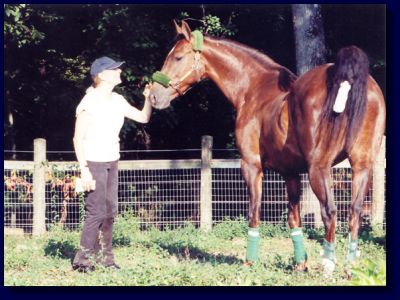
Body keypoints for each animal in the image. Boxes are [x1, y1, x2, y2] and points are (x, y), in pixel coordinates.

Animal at [148, 19, 386, 276]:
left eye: (178, 57)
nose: (153, 96)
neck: (253, 88)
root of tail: (348, 78)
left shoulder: (251, 165)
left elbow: (254, 212)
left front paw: (250, 262)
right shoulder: (290, 173)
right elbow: (294, 218)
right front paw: (300, 264)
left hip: (319, 169)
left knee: (330, 212)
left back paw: (328, 266)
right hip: (361, 166)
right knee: (354, 212)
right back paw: (350, 268)